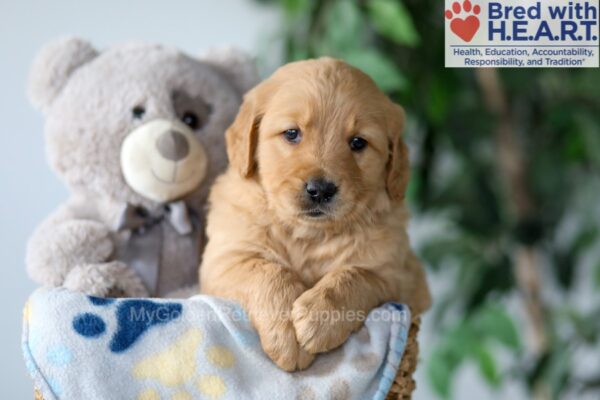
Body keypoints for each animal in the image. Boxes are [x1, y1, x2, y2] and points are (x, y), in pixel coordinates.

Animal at [200, 57, 432, 370]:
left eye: (358, 142)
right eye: (292, 133)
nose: (320, 190)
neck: (308, 235)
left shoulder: (399, 278)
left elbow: (356, 275)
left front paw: (319, 316)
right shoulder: (225, 259)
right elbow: (268, 272)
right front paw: (286, 330)